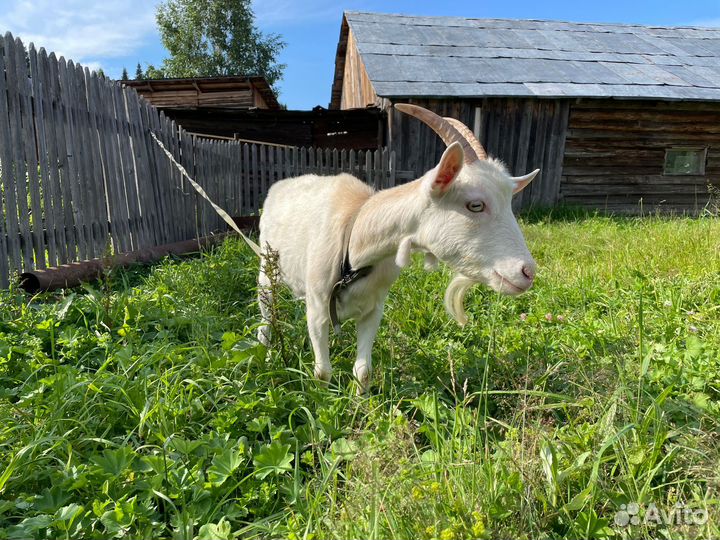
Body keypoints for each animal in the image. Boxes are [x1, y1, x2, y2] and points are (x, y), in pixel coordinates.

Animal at [257, 104, 539, 392]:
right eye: (475, 205)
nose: (528, 272)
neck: (354, 247)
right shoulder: (317, 307)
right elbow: (322, 372)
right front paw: (321, 399)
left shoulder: (374, 309)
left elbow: (363, 371)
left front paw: (361, 400)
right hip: (266, 270)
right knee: (265, 320)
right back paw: (265, 359)